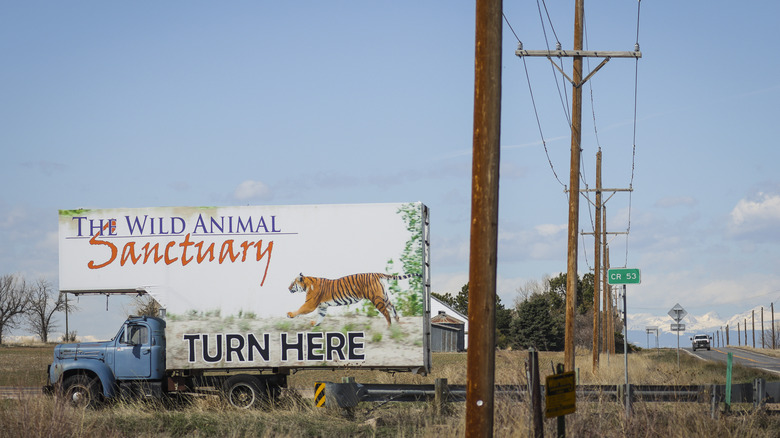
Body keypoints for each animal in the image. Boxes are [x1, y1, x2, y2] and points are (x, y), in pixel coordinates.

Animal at [286, 272, 420, 326]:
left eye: (293, 283)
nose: (288, 288)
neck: (307, 284)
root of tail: (376, 273)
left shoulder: (310, 304)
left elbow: (300, 310)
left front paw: (290, 314)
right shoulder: (322, 306)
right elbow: (320, 316)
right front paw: (315, 324)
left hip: (376, 299)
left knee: (386, 313)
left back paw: (389, 327)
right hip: (383, 296)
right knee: (392, 307)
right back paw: (398, 322)